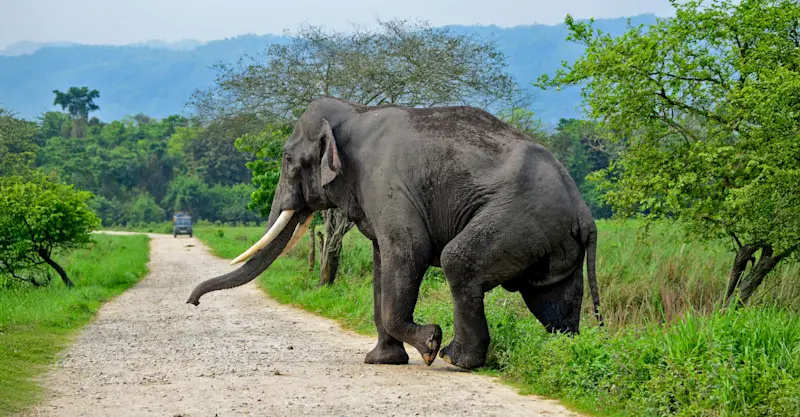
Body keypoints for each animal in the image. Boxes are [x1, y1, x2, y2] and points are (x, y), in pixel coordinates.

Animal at [187, 96, 603, 370]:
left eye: (288, 160)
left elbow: (407, 251)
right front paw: (382, 361)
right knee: (552, 296)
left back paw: (455, 359)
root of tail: (585, 213)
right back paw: (559, 353)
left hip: (518, 219)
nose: (192, 304)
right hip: (549, 238)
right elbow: (381, 263)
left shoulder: (386, 184)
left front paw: (430, 344)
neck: (355, 111)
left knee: (458, 263)